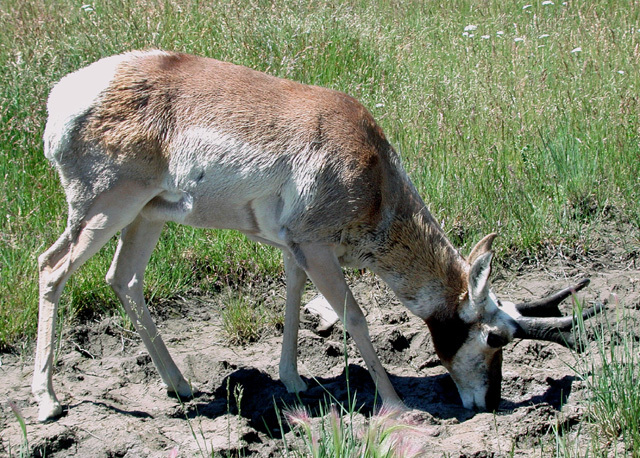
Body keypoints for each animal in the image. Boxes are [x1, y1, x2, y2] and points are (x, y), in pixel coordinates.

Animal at [32, 51, 600, 422]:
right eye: (496, 336)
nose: (491, 403)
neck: (375, 174)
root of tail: (64, 93)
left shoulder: (295, 250)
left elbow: (289, 302)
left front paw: (293, 381)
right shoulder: (317, 248)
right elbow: (356, 317)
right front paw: (396, 403)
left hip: (148, 215)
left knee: (123, 279)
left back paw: (181, 386)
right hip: (105, 209)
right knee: (51, 267)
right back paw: (49, 403)